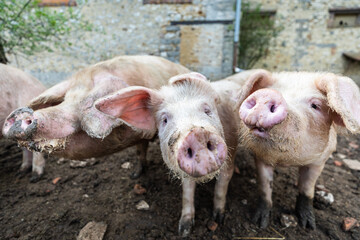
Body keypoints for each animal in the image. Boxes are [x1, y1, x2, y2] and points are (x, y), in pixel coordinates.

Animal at [90, 71, 242, 236]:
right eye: (164, 120)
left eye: (207, 110)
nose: (197, 134)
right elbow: (187, 192)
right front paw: (183, 231)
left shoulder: (231, 151)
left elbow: (222, 186)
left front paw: (219, 219)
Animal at [235, 69, 360, 229]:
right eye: (271, 90)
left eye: (315, 105)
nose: (267, 94)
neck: (288, 161)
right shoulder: (260, 157)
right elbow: (265, 186)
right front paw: (259, 223)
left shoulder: (320, 161)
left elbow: (307, 189)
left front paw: (308, 225)